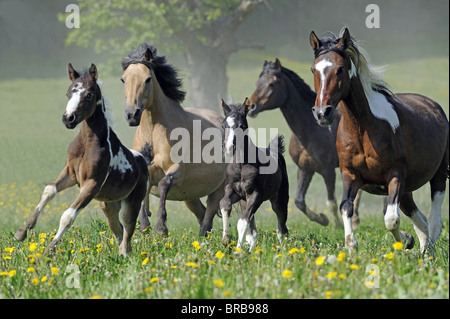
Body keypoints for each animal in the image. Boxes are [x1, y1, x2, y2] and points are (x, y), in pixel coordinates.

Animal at [13, 64, 148, 258]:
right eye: (68, 93)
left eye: (89, 94)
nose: (68, 118)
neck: (87, 144)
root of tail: (142, 159)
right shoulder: (70, 173)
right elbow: (49, 191)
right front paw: (22, 232)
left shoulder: (91, 184)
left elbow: (68, 215)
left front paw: (49, 249)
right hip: (108, 206)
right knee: (119, 231)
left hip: (133, 202)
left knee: (127, 232)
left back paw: (124, 258)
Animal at [119, 43, 227, 238]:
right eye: (123, 80)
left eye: (147, 79)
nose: (132, 115)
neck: (153, 132)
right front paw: (144, 226)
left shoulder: (176, 170)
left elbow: (163, 184)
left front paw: (161, 227)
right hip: (190, 194)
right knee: (201, 214)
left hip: (219, 188)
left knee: (209, 215)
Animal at [220, 97, 290, 250]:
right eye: (223, 126)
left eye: (241, 125)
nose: (228, 148)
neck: (241, 166)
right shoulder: (233, 190)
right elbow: (224, 204)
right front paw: (226, 240)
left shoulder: (255, 194)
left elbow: (242, 222)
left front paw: (237, 250)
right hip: (244, 201)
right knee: (253, 232)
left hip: (279, 200)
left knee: (282, 228)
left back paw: (285, 249)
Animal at [310, 28, 450, 254]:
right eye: (313, 69)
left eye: (340, 69)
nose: (323, 113)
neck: (363, 128)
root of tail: (434, 106)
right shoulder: (350, 174)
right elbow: (346, 208)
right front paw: (352, 247)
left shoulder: (395, 175)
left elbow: (391, 219)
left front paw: (404, 241)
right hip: (407, 190)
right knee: (420, 220)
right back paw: (422, 249)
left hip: (438, 175)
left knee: (434, 220)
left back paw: (428, 252)